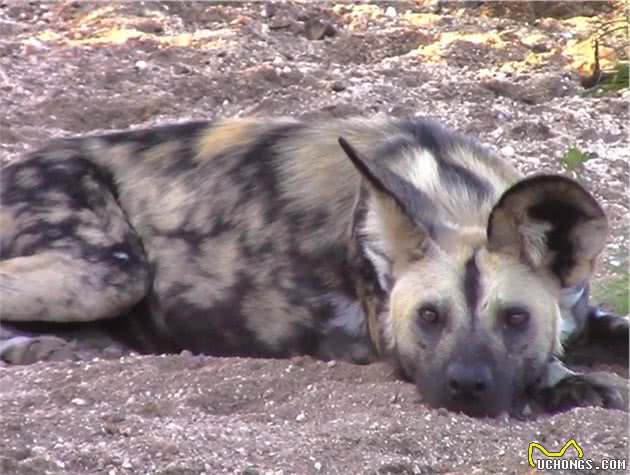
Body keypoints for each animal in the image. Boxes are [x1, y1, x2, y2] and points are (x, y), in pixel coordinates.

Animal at [0, 114, 628, 416]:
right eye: (428, 317)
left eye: (516, 318)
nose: (467, 386)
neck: (453, 193)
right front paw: (571, 385)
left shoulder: (582, 313)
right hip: (109, 271)